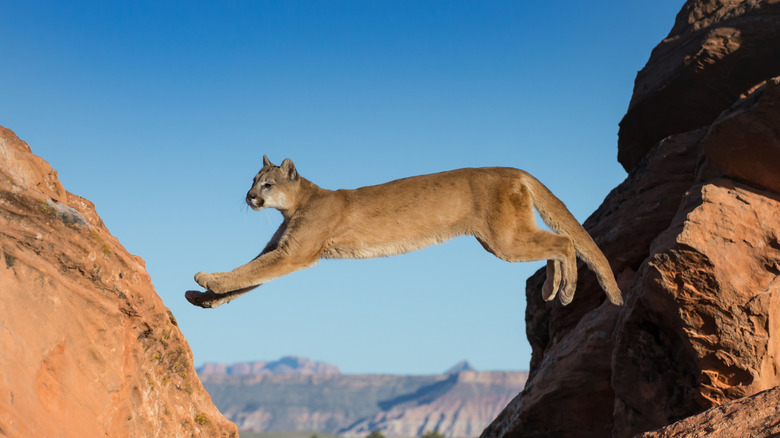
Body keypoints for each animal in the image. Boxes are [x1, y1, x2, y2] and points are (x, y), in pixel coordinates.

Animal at [184, 157, 620, 308]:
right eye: (252, 181)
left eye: (267, 184)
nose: (249, 197)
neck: (297, 204)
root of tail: (514, 169)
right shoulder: (282, 250)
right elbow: (249, 278)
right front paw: (203, 299)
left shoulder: (294, 253)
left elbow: (248, 272)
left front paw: (206, 279)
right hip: (505, 238)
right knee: (556, 244)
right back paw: (552, 289)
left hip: (505, 239)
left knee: (564, 241)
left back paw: (564, 291)